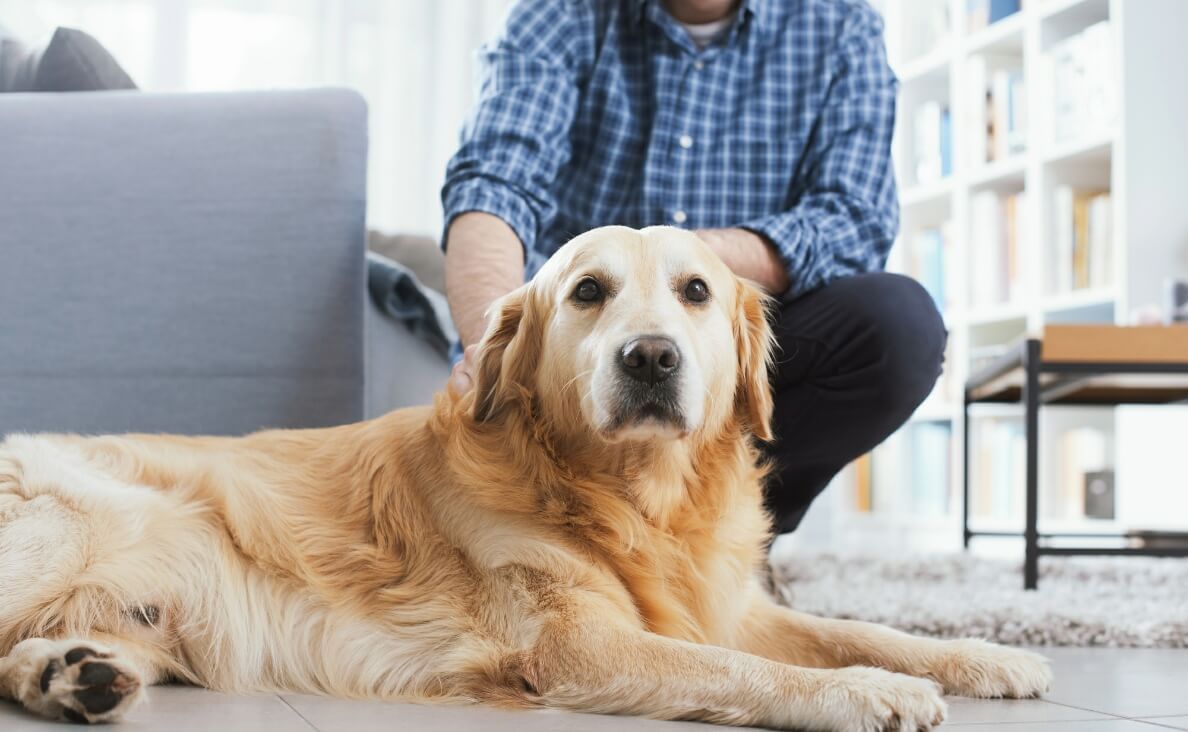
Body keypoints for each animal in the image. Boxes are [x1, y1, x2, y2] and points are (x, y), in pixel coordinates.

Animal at [0, 226, 1045, 727]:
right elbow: (741, 669)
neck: (633, 497)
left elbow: (856, 628)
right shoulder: (579, 645)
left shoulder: (727, 603)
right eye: (588, 291)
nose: (651, 358)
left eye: (696, 291)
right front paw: (870, 693)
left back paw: (72, 676)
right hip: (70, 525)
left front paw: (983, 655)